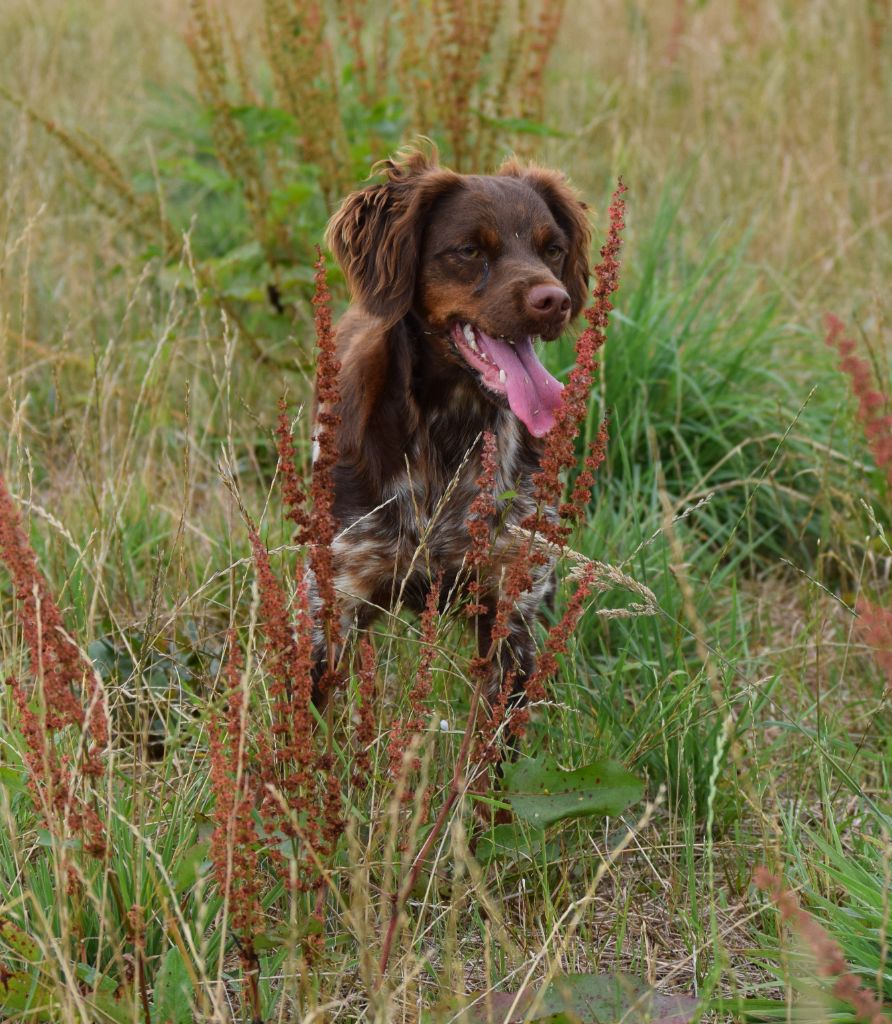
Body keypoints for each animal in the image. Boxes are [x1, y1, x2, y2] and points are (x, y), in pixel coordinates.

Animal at [313, 148, 593, 700]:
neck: (451, 430)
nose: (555, 300)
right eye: (468, 250)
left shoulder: (510, 606)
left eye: (552, 249)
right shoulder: (338, 598)